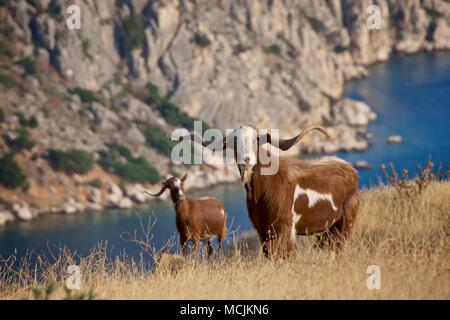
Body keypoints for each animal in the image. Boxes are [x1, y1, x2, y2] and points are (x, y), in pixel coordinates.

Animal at [176, 126, 358, 256]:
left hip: (345, 222)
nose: (246, 160)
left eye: (256, 140)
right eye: (235, 143)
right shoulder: (263, 230)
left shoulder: (285, 229)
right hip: (327, 229)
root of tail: (349, 169)